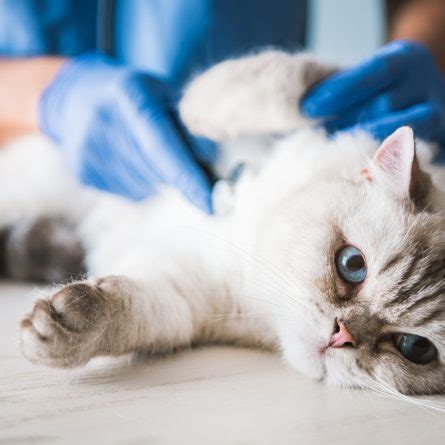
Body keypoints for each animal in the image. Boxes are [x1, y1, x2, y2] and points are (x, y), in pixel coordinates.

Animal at [2, 50, 440, 394]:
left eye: (415, 349)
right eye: (353, 265)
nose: (341, 336)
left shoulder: (182, 298)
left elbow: (123, 311)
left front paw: (64, 327)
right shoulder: (305, 110)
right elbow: (291, 88)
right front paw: (187, 108)